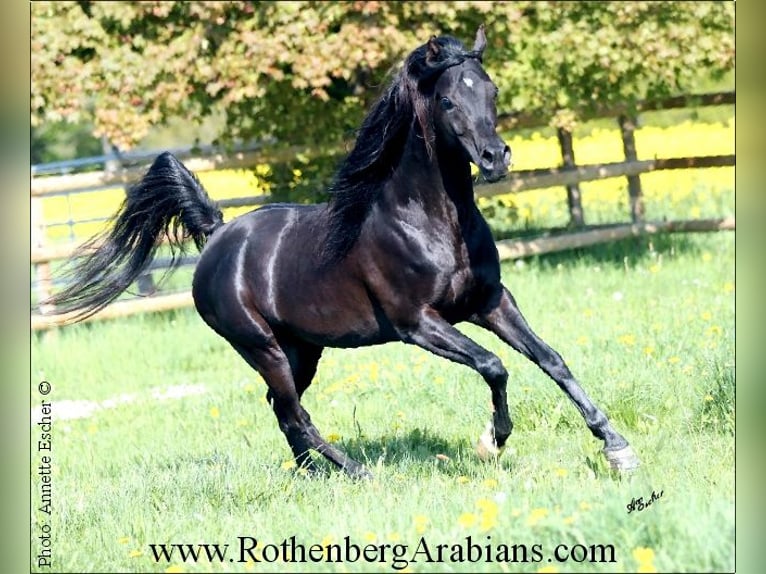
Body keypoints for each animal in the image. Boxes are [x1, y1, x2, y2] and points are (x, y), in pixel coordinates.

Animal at [45, 27, 640, 480]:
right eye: (449, 99)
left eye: (491, 91)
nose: (496, 158)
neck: (430, 222)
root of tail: (217, 237)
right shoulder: (418, 324)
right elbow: (495, 365)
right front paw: (491, 441)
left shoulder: (490, 301)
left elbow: (550, 358)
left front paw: (616, 447)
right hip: (261, 347)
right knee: (293, 411)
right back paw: (355, 471)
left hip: (302, 350)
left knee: (283, 410)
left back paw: (314, 473)